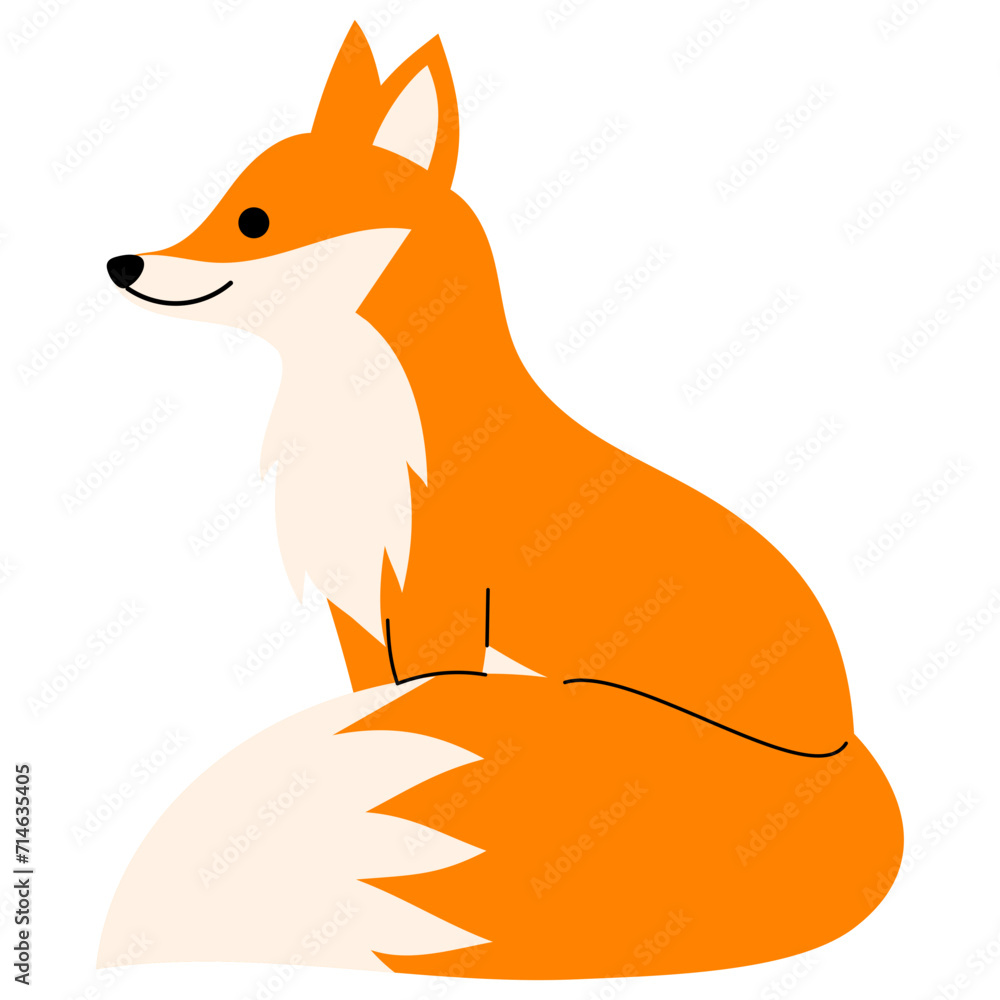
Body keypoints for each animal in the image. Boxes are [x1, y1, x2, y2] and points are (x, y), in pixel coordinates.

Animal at [103, 22, 902, 980]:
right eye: (222, 202)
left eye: (252, 219)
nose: (120, 263)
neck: (359, 424)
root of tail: (842, 743)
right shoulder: (359, 614)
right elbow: (366, 709)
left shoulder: (437, 606)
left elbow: (420, 699)